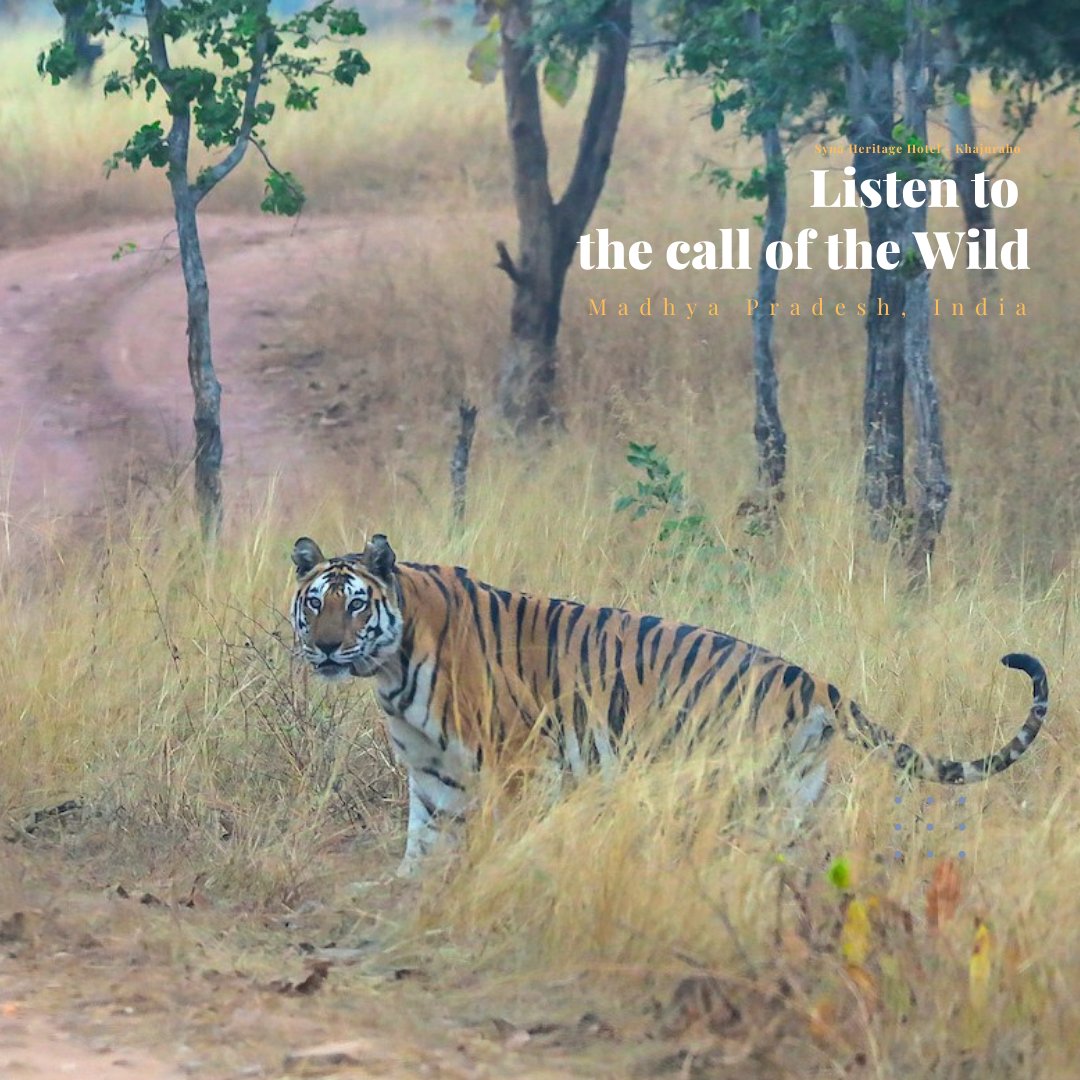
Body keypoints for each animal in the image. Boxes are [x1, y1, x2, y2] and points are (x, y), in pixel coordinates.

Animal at [290, 534, 1049, 875]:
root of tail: (810, 679)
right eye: (314, 602)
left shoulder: (520, 761)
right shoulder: (433, 771)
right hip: (793, 796)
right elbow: (423, 841)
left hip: (741, 789)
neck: (391, 670)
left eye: (355, 606)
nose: (325, 648)